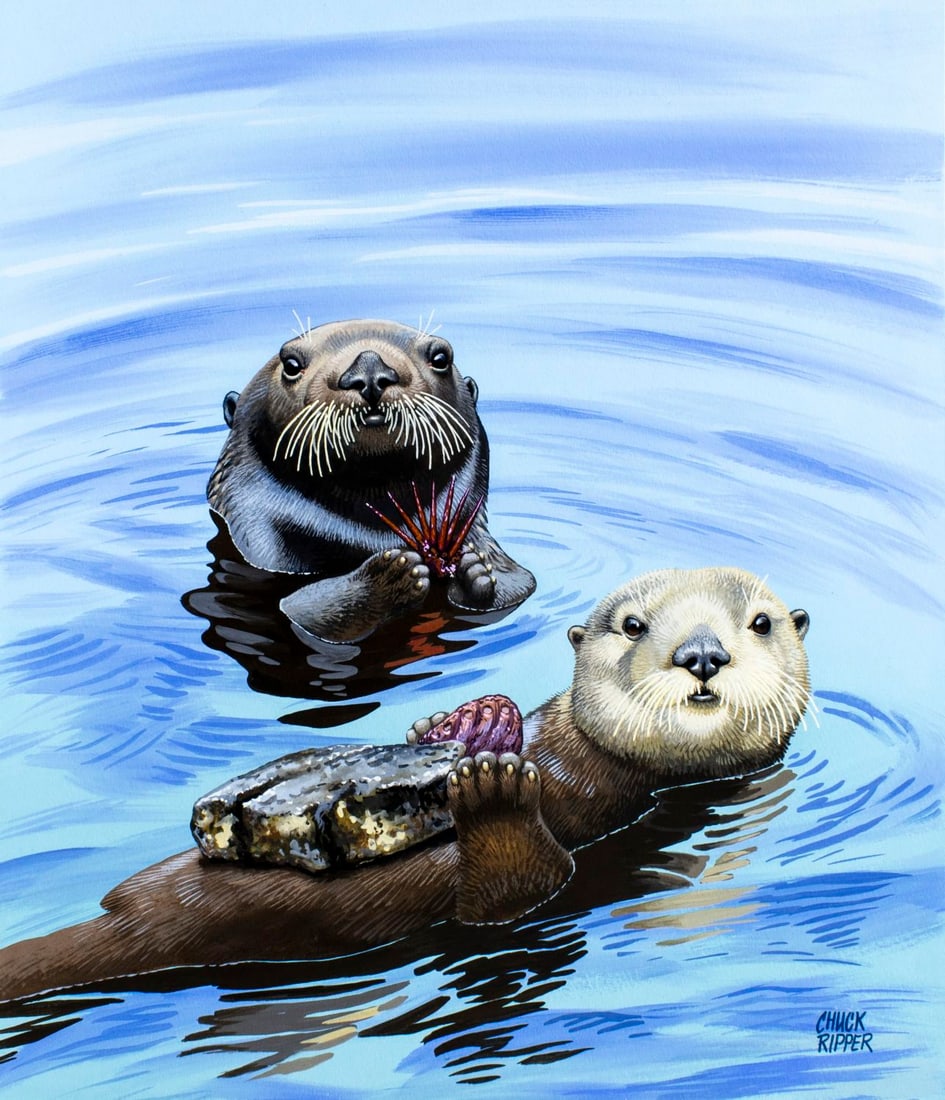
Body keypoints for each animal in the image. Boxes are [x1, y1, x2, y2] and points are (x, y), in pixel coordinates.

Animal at [0, 568, 810, 1001]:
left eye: (760, 622)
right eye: (632, 624)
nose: (701, 653)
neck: (573, 760)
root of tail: (131, 923)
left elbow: (524, 892)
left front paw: (489, 773)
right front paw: (471, 721)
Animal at [207, 319, 535, 641]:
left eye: (441, 358)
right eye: (290, 364)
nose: (369, 367)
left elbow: (520, 584)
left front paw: (476, 568)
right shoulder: (261, 542)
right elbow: (293, 607)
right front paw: (392, 574)